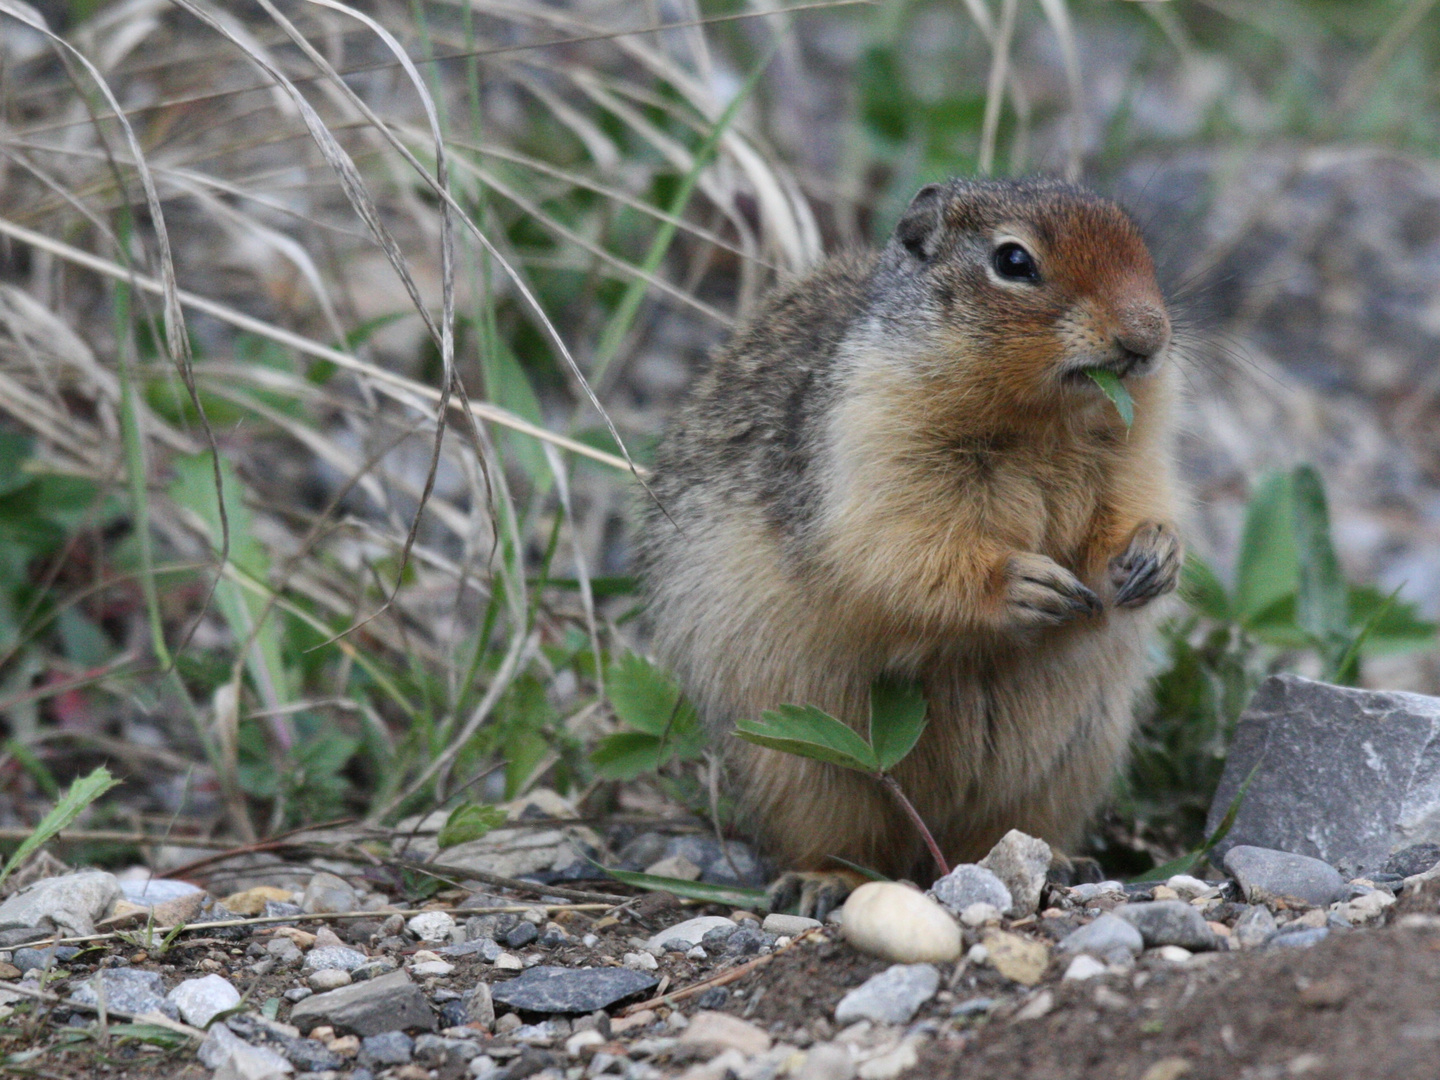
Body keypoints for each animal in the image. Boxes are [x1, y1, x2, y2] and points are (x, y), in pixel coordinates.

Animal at [636, 180, 1175, 915]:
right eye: (1013, 260)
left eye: (1141, 246)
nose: (1148, 335)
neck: (1042, 425)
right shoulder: (873, 441)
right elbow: (901, 549)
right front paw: (1026, 583)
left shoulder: (1135, 457)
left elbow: (1134, 508)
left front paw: (1155, 555)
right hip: (803, 768)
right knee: (845, 841)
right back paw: (820, 883)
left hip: (1073, 759)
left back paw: (1065, 862)